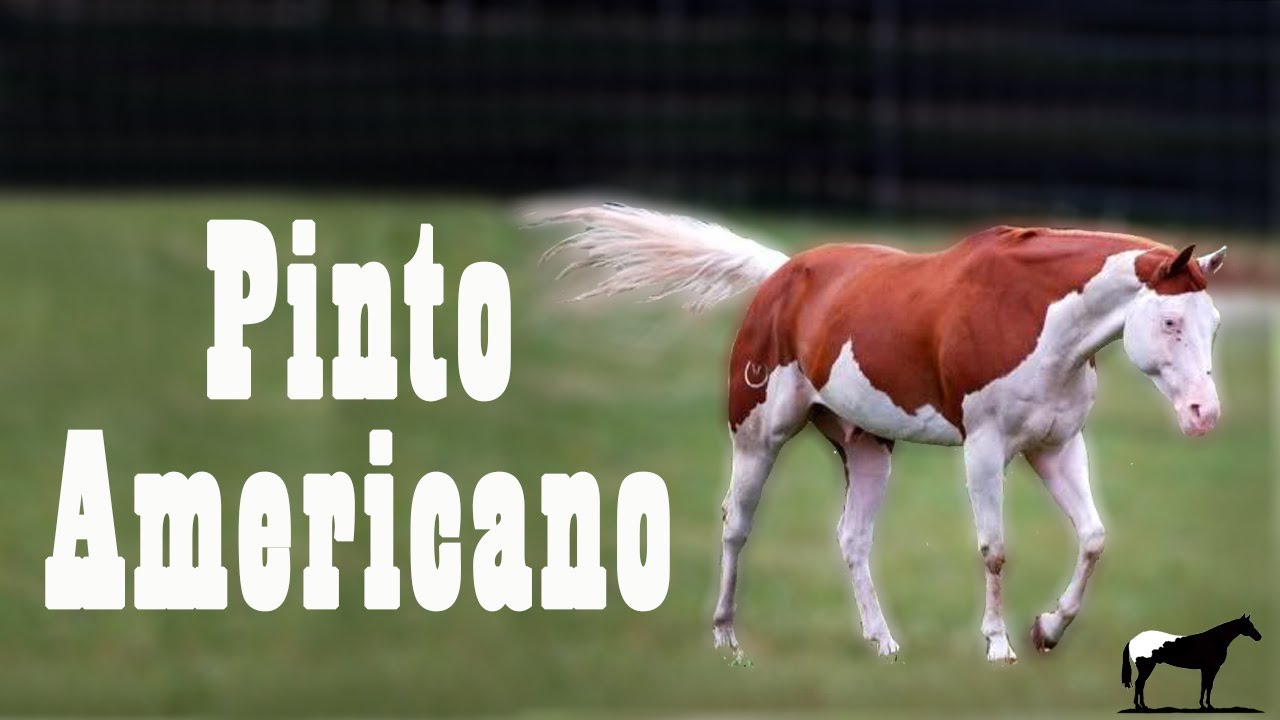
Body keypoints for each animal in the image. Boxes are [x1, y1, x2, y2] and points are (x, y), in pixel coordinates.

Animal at [534, 204, 1227, 663]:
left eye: (1214, 323)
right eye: (1170, 321)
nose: (1204, 414)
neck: (1034, 314)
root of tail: (782, 274)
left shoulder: (1055, 447)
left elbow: (1093, 538)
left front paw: (1047, 630)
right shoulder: (985, 450)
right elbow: (994, 549)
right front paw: (998, 646)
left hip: (867, 446)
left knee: (852, 538)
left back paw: (883, 641)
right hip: (758, 436)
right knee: (736, 523)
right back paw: (726, 636)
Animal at [1122, 615, 1261, 709]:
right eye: (1249, 625)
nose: (1259, 637)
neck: (1215, 640)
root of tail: (1133, 640)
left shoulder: (1207, 669)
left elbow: (1206, 686)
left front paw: (1204, 705)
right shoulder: (1210, 668)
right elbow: (1207, 685)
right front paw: (1207, 705)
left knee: (1141, 684)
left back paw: (1142, 705)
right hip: (1147, 667)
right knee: (1139, 683)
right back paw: (1140, 706)